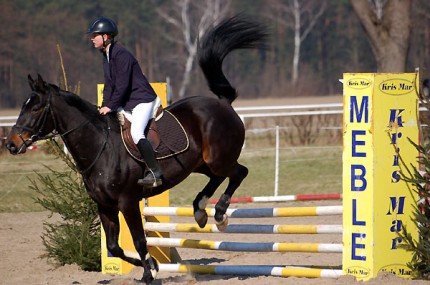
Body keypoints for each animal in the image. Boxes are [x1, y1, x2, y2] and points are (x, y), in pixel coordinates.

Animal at [5, 16, 268, 284]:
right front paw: (152, 265)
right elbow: (114, 246)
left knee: (239, 172)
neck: (100, 147)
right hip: (201, 164)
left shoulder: (128, 202)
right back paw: (200, 211)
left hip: (218, 159)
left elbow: (140, 241)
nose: (11, 144)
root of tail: (223, 104)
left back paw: (220, 213)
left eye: (35, 108)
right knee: (218, 177)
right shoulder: (105, 206)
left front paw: (150, 273)